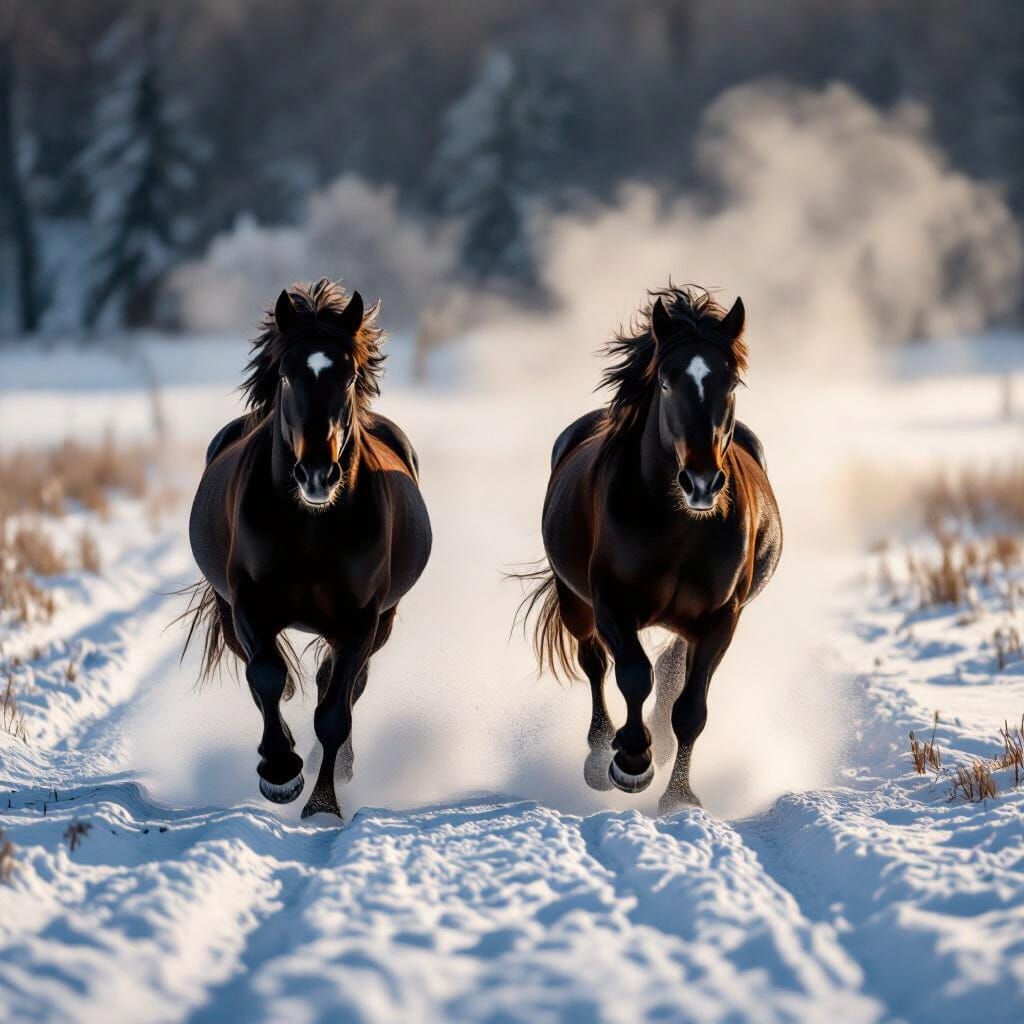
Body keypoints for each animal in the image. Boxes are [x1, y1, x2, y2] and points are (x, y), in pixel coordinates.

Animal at [184, 278, 432, 820]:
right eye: (287, 374)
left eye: (350, 374)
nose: (317, 473)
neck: (311, 528)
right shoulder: (248, 602)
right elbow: (267, 676)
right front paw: (280, 772)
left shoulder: (362, 619)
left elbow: (335, 712)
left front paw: (322, 803)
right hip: (231, 612)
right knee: (266, 677)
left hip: (379, 622)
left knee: (339, 685)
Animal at [519, 286, 782, 813]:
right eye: (664, 382)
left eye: (732, 382)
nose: (701, 482)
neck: (679, 526)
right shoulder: (611, 602)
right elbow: (633, 674)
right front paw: (630, 761)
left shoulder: (720, 619)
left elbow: (691, 709)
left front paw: (679, 797)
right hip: (575, 600)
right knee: (595, 663)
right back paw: (601, 754)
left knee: (671, 671)